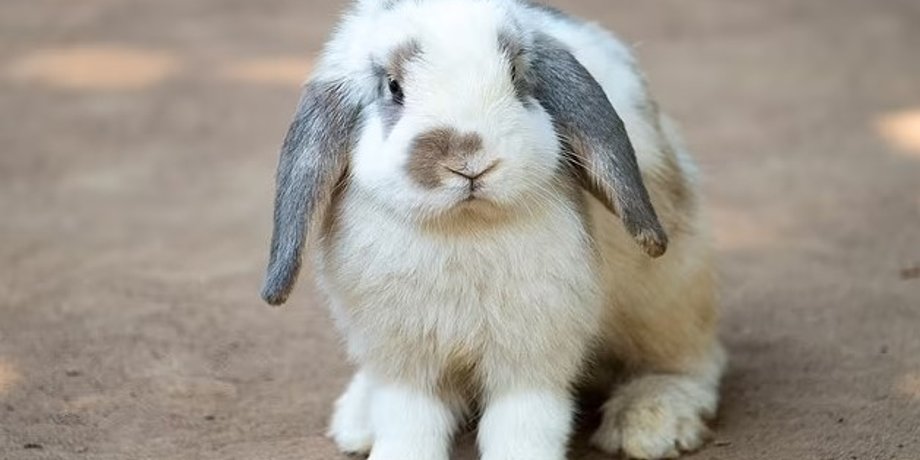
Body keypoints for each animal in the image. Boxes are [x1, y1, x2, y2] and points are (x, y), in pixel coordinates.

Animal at [260, 1, 726, 459]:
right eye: (393, 87)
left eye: (518, 76)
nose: (469, 159)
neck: (463, 229)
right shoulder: (405, 360)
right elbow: (408, 422)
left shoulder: (532, 354)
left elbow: (522, 424)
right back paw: (356, 422)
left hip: (668, 294)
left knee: (691, 360)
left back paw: (652, 422)